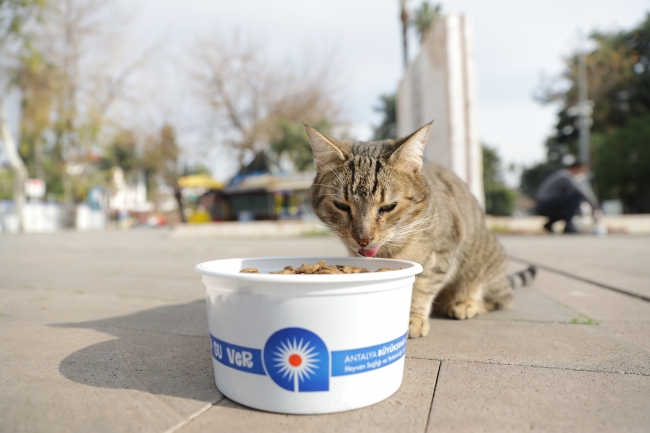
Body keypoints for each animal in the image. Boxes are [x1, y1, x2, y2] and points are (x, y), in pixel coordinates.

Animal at [306, 121, 536, 338]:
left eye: (388, 207)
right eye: (342, 206)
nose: (363, 239)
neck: (390, 249)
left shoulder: (442, 251)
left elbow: (423, 286)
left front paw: (411, 318)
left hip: (481, 265)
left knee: (500, 299)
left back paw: (466, 304)